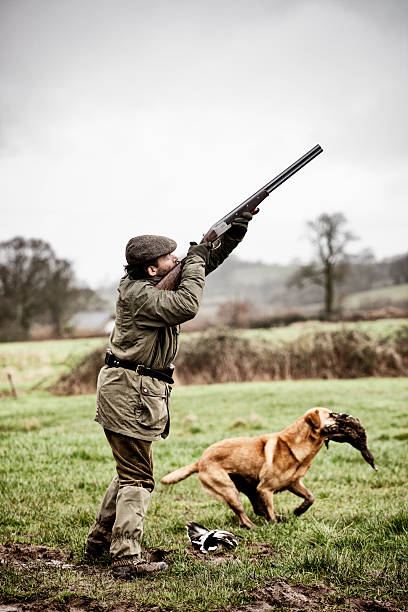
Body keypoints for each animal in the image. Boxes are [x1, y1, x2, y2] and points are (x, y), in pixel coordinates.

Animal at [160, 406, 376, 524]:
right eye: (331, 415)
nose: (346, 416)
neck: (299, 444)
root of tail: (201, 459)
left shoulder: (293, 483)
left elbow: (310, 497)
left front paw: (298, 511)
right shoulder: (265, 489)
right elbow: (270, 512)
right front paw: (275, 524)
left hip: (248, 488)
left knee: (255, 510)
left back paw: (280, 518)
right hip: (230, 490)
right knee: (243, 517)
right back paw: (256, 527)